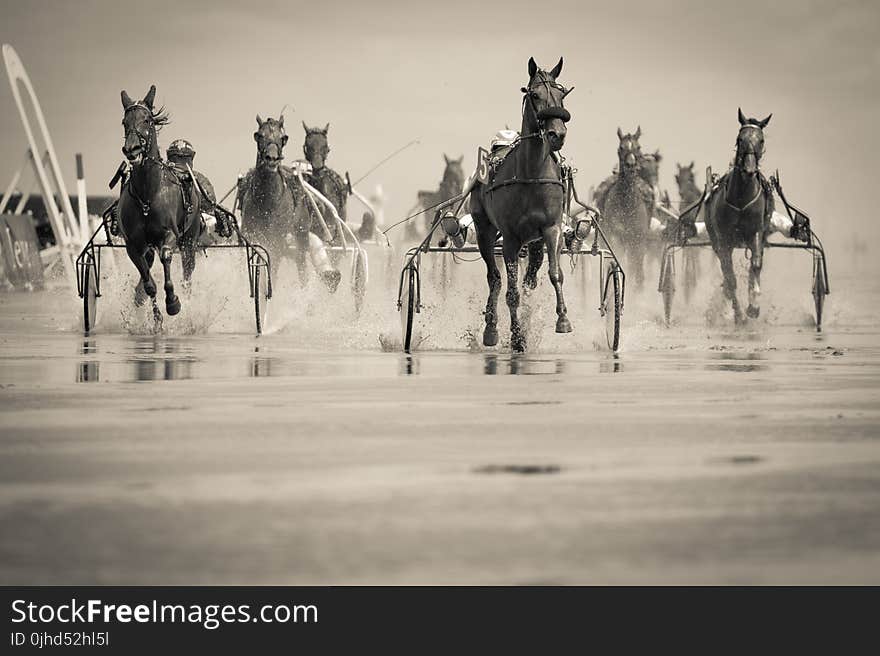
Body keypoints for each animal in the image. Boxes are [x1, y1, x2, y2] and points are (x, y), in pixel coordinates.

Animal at [115, 84, 199, 320]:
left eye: (147, 120)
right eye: (124, 122)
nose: (132, 149)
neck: (147, 195)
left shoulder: (170, 235)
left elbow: (166, 256)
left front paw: (173, 302)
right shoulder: (133, 246)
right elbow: (148, 283)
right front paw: (156, 317)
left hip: (190, 240)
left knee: (187, 273)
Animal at [239, 114, 342, 288]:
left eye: (282, 138)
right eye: (260, 135)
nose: (272, 159)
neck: (267, 201)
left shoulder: (277, 241)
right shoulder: (252, 236)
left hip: (301, 236)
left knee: (302, 266)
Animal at [470, 57, 576, 354]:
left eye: (562, 95)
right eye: (535, 94)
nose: (557, 134)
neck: (531, 173)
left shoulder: (551, 229)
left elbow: (555, 274)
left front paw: (563, 320)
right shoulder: (510, 238)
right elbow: (511, 291)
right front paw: (517, 337)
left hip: (535, 242)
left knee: (530, 278)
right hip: (484, 230)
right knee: (495, 278)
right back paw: (492, 329)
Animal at [700, 109, 768, 324]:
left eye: (761, 140)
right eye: (740, 139)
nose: (749, 169)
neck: (740, 200)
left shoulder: (756, 232)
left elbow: (755, 265)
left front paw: (754, 306)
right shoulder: (724, 239)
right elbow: (730, 278)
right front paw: (739, 314)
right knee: (727, 272)